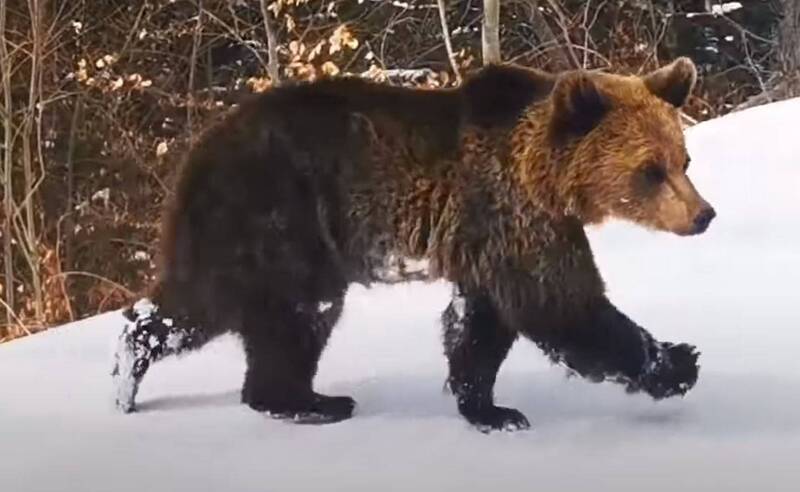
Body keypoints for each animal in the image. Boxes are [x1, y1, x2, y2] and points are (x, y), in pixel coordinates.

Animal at [111, 57, 712, 432]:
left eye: (684, 160)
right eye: (650, 170)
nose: (703, 215)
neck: (544, 175)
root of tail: (198, 152)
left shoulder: (487, 240)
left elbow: (481, 325)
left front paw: (489, 408)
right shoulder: (510, 213)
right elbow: (559, 304)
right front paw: (676, 361)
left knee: (192, 306)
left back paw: (130, 366)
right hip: (282, 217)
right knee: (296, 313)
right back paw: (309, 401)